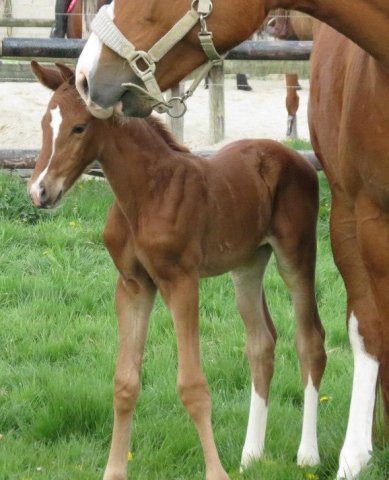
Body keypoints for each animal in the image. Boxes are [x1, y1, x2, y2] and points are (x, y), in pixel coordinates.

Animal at [28, 62, 324, 480]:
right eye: (45, 122)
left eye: (79, 127)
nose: (39, 192)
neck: (146, 194)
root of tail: (297, 159)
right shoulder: (133, 285)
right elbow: (125, 382)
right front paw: (113, 471)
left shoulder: (181, 281)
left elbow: (192, 385)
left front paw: (216, 473)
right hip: (248, 265)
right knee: (261, 344)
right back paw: (251, 455)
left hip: (296, 255)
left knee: (310, 340)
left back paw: (308, 455)